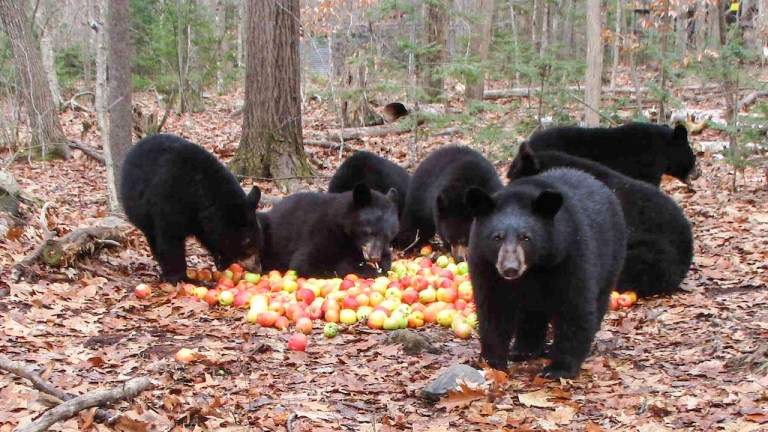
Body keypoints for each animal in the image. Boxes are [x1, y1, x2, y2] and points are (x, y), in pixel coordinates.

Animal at [121, 133, 264, 286]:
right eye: (247, 242)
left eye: (258, 240)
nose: (258, 268)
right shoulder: (169, 201)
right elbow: (170, 238)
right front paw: (180, 277)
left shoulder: (201, 219)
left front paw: (222, 260)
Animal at [260, 183, 400, 278]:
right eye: (369, 232)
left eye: (388, 236)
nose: (374, 257)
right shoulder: (322, 233)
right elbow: (306, 262)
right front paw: (366, 269)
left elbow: (388, 257)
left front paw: (381, 265)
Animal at [464, 167, 628, 376]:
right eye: (497, 237)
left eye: (526, 237)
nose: (510, 269)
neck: (535, 267)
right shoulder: (486, 264)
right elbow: (494, 306)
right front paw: (492, 361)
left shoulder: (570, 254)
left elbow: (574, 305)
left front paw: (559, 368)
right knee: (533, 312)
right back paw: (524, 349)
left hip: (611, 256)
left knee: (598, 300)